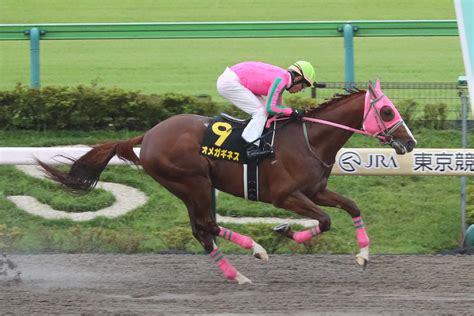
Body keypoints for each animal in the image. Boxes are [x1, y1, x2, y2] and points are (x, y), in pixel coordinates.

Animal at [38, 81, 414, 284]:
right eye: (387, 112)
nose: (408, 143)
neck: (310, 140)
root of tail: (149, 135)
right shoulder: (285, 196)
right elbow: (324, 220)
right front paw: (285, 230)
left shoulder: (315, 190)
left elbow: (351, 206)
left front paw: (363, 256)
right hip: (193, 181)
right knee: (205, 226)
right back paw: (255, 252)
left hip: (192, 186)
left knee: (203, 229)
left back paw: (241, 269)